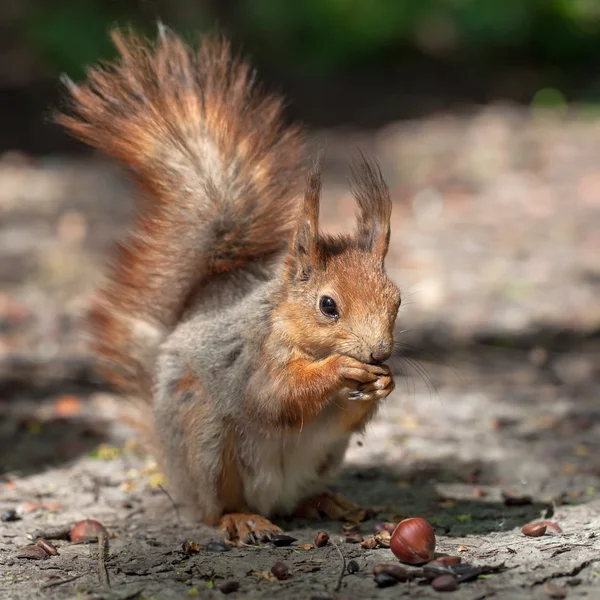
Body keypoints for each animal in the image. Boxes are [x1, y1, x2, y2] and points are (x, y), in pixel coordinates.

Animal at [56, 27, 400, 544]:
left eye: (397, 301)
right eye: (328, 306)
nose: (379, 351)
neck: (290, 327)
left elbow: (338, 416)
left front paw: (386, 381)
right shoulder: (252, 356)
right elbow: (274, 397)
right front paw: (341, 369)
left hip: (322, 457)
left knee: (299, 496)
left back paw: (325, 501)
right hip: (205, 438)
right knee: (218, 507)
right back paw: (242, 518)